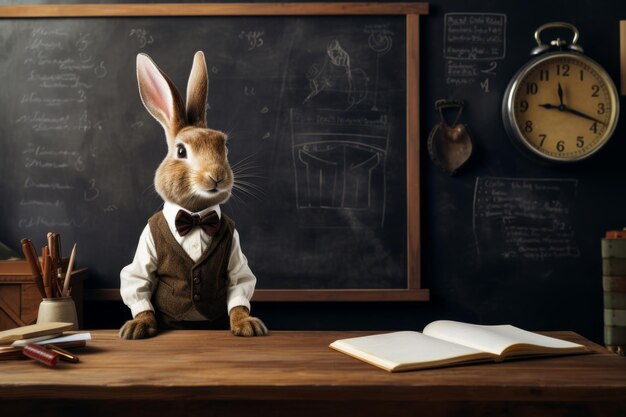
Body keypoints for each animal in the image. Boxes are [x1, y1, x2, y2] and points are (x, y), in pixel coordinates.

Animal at [118, 51, 266, 338]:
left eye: (224, 148)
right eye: (181, 151)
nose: (216, 175)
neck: (195, 215)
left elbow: (240, 284)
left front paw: (247, 324)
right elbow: (137, 282)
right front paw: (139, 326)